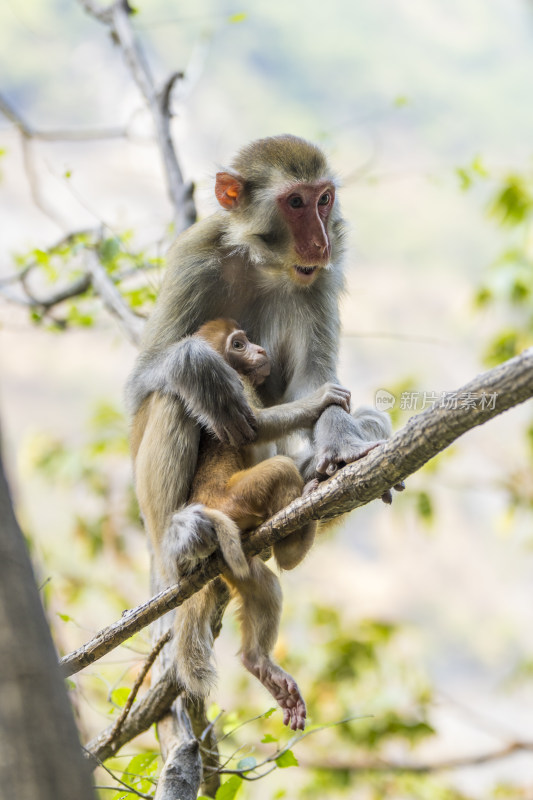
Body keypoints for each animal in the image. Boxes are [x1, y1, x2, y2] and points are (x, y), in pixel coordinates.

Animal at [127, 134, 394, 592]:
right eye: (296, 202)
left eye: (324, 199)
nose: (321, 243)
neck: (262, 263)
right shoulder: (193, 256)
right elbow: (143, 379)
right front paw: (201, 370)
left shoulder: (320, 279)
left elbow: (316, 387)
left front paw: (343, 446)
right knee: (172, 398)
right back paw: (178, 547)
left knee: (370, 420)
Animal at [170, 316, 352, 728]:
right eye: (239, 344)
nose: (258, 349)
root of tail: (204, 508)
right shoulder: (237, 387)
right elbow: (252, 429)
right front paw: (319, 401)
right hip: (234, 500)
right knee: (280, 470)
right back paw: (291, 547)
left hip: (228, 558)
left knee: (263, 585)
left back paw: (260, 664)